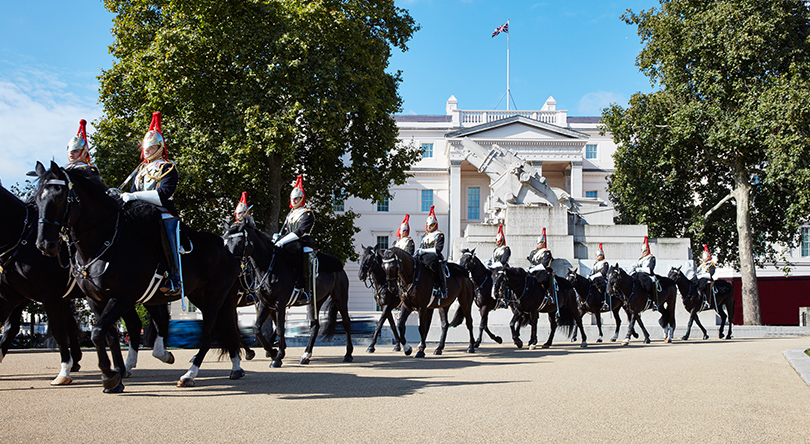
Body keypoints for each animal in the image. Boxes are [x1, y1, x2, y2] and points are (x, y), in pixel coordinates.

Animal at [34, 161, 243, 390]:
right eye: (37, 198)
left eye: (59, 195)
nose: (45, 245)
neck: (105, 241)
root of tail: (226, 250)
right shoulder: (95, 299)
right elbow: (107, 335)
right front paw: (115, 377)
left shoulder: (121, 297)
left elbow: (97, 332)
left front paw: (109, 376)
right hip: (199, 296)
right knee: (224, 328)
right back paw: (234, 368)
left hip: (215, 296)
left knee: (208, 333)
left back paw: (190, 374)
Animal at [221, 219, 350, 368]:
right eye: (225, 242)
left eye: (240, 241)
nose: (230, 265)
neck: (269, 266)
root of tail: (340, 265)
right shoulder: (265, 303)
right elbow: (257, 328)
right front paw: (271, 352)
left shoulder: (279, 302)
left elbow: (280, 328)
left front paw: (277, 357)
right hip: (315, 301)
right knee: (314, 326)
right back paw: (305, 355)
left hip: (339, 298)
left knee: (346, 322)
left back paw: (348, 354)